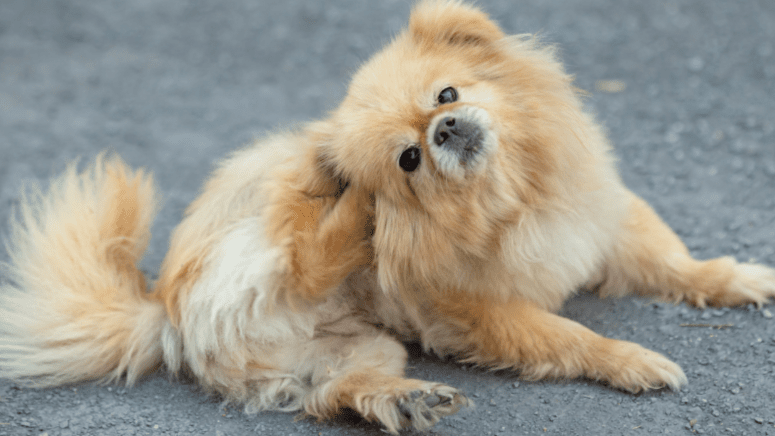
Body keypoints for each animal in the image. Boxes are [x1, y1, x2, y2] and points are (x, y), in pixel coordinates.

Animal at [1, 1, 775, 434]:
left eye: (447, 93)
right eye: (408, 160)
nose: (444, 128)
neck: (510, 201)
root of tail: (162, 308)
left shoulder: (606, 222)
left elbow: (679, 263)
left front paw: (739, 278)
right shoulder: (483, 312)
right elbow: (571, 336)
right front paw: (634, 361)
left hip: (359, 347)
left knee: (334, 392)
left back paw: (403, 402)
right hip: (267, 228)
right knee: (303, 254)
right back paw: (354, 211)